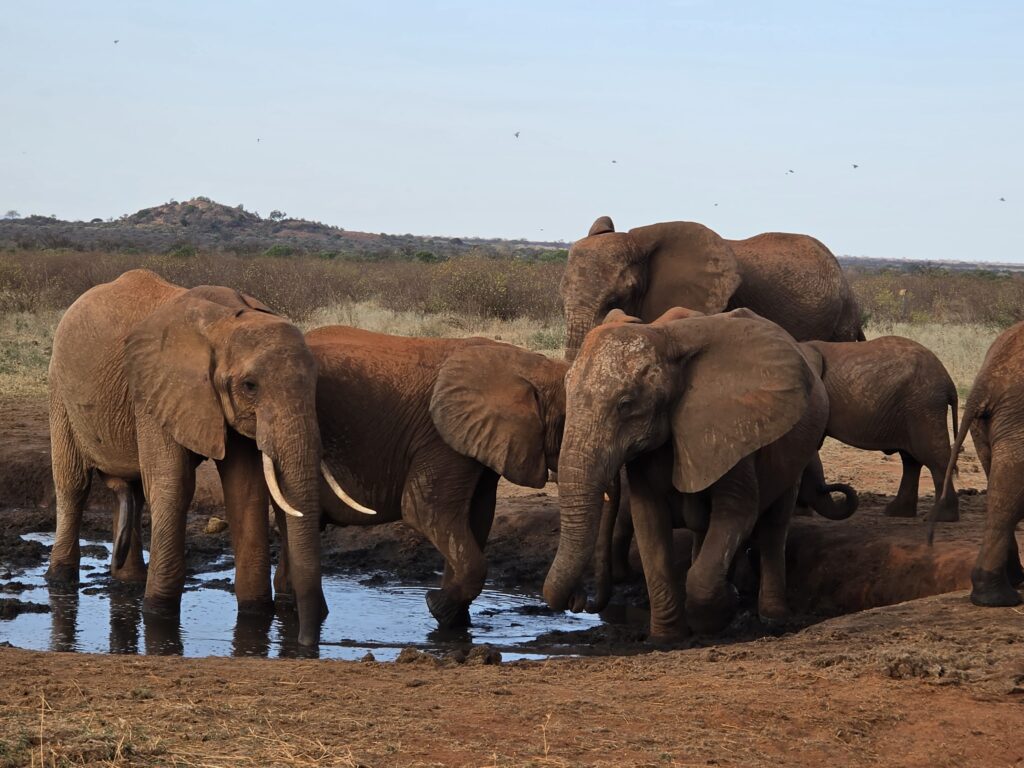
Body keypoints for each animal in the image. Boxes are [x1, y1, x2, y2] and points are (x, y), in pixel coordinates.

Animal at [46, 269, 369, 646]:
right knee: (73, 483)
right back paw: (60, 579)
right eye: (250, 386)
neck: (225, 322)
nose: (307, 642)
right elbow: (173, 486)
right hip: (59, 388)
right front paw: (157, 612)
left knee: (133, 490)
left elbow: (245, 489)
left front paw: (256, 612)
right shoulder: (156, 390)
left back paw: (128, 581)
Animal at [273, 326, 569, 628]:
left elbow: (477, 515)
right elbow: (427, 511)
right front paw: (437, 606)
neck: (529, 365)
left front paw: (452, 616)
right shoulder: (442, 438)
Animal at [544, 307, 828, 640]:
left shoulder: (732, 428)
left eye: (625, 405)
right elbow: (649, 522)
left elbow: (737, 512)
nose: (578, 599)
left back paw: (773, 618)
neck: (666, 340)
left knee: (774, 527)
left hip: (796, 446)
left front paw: (719, 612)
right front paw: (668, 638)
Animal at [800, 336, 959, 521]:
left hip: (924, 405)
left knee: (932, 457)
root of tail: (949, 382)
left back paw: (939, 517)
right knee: (911, 459)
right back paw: (897, 513)